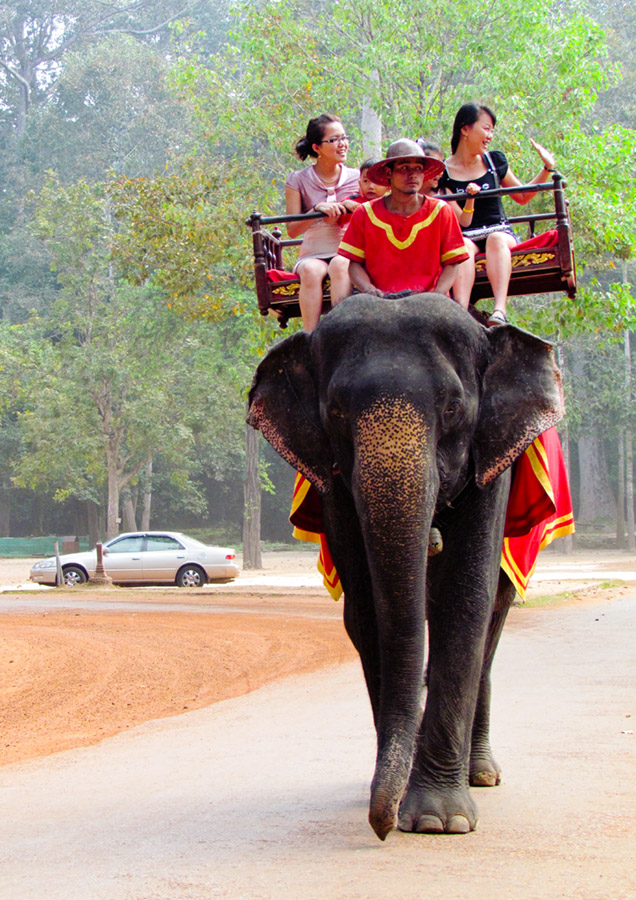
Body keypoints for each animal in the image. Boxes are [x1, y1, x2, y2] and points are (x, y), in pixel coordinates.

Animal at [246, 292, 564, 840]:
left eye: (454, 408)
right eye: (335, 411)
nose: (380, 826)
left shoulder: (491, 461)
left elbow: (467, 599)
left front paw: (439, 820)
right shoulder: (335, 481)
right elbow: (367, 611)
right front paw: (392, 800)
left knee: (494, 613)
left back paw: (481, 774)